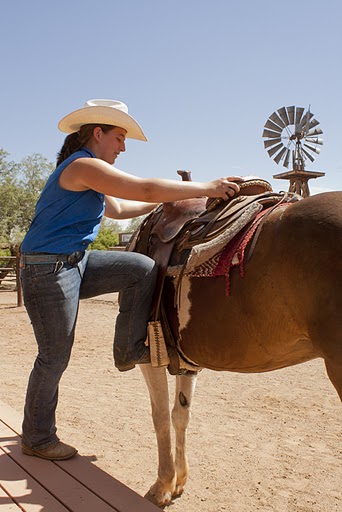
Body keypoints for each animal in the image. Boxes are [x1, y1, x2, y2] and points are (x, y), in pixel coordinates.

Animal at [132, 189, 342, 508]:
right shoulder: (187, 363)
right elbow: (180, 415)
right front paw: (179, 481)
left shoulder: (150, 356)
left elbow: (160, 418)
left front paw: (163, 485)